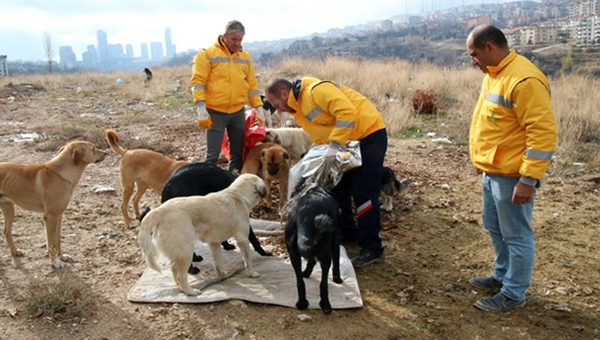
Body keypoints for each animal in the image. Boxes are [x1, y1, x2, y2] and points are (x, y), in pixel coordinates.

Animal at [282, 185, 340, 314]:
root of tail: (305, 214)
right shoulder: (335, 241)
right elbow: (337, 261)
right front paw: (337, 279)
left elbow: (311, 260)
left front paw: (307, 272)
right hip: (326, 250)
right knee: (323, 284)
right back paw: (326, 305)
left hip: (293, 252)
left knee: (300, 282)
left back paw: (302, 304)